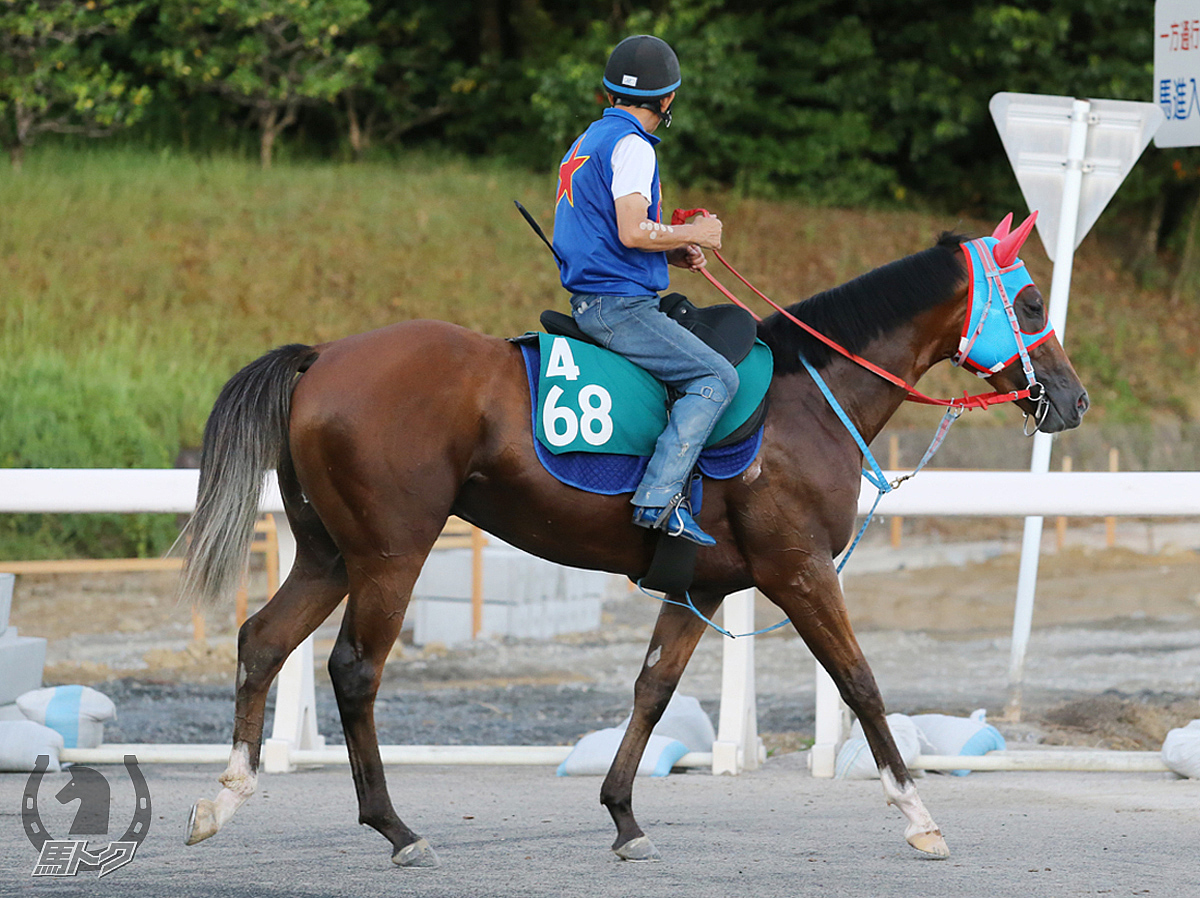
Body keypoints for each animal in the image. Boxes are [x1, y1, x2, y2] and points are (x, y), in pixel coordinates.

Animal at [177, 213, 1089, 864]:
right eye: (1031, 302)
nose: (1073, 399)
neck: (808, 399)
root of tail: (324, 356)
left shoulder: (700, 586)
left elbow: (652, 690)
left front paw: (622, 814)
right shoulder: (799, 572)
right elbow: (861, 684)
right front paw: (917, 813)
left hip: (330, 553)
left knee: (263, 641)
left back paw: (225, 797)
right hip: (390, 555)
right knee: (353, 671)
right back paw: (394, 828)